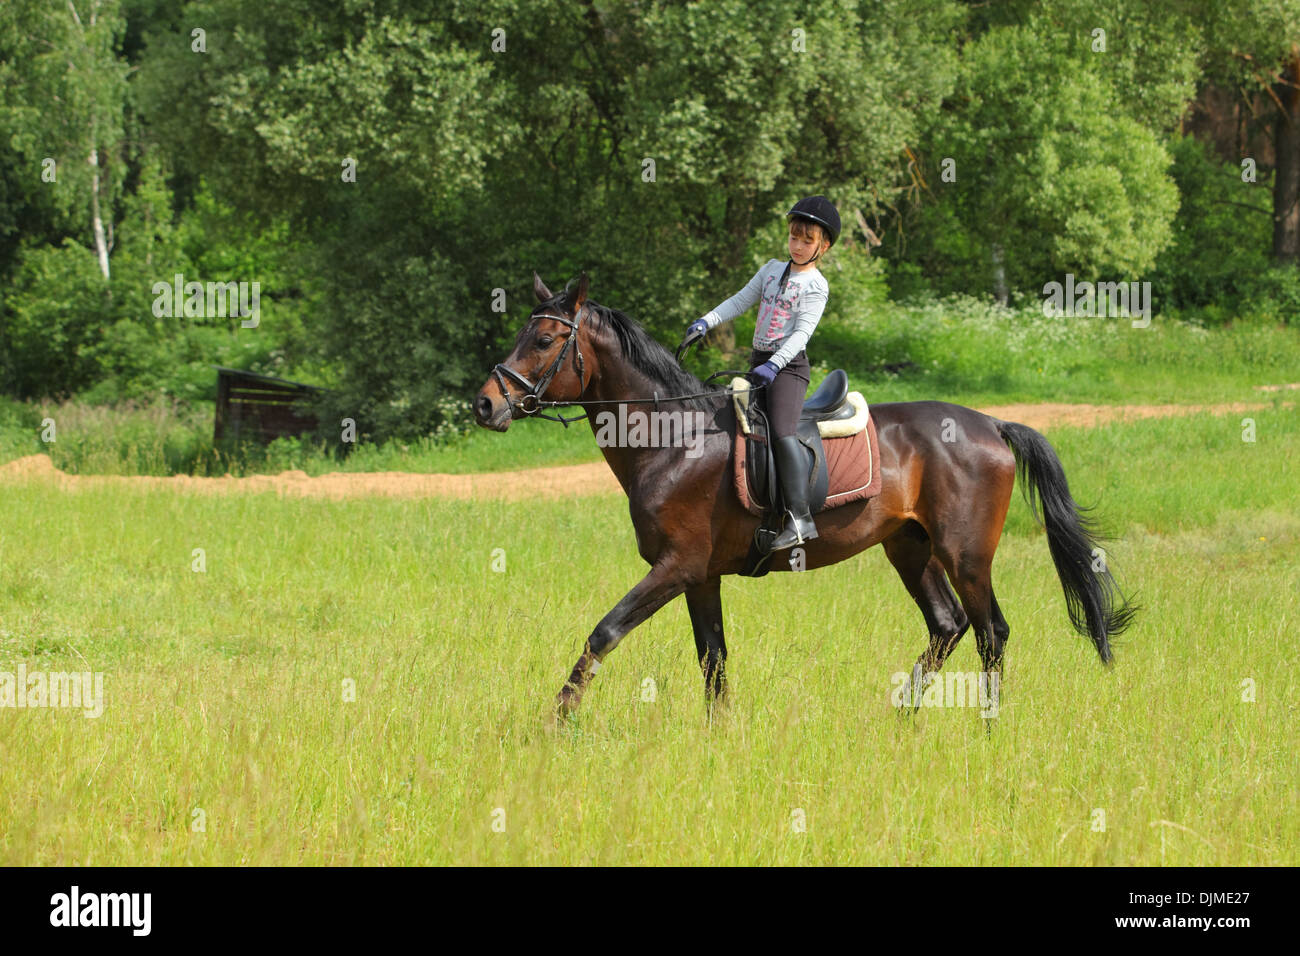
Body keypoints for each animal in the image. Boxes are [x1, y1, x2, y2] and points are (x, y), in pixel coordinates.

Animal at [473, 270, 1133, 717]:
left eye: (542, 341)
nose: (485, 404)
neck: (676, 438)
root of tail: (991, 424)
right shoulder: (699, 576)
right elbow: (713, 661)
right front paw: (719, 740)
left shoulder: (674, 567)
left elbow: (604, 633)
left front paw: (555, 722)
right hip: (909, 547)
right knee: (947, 625)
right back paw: (902, 718)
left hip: (965, 553)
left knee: (991, 632)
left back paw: (987, 728)